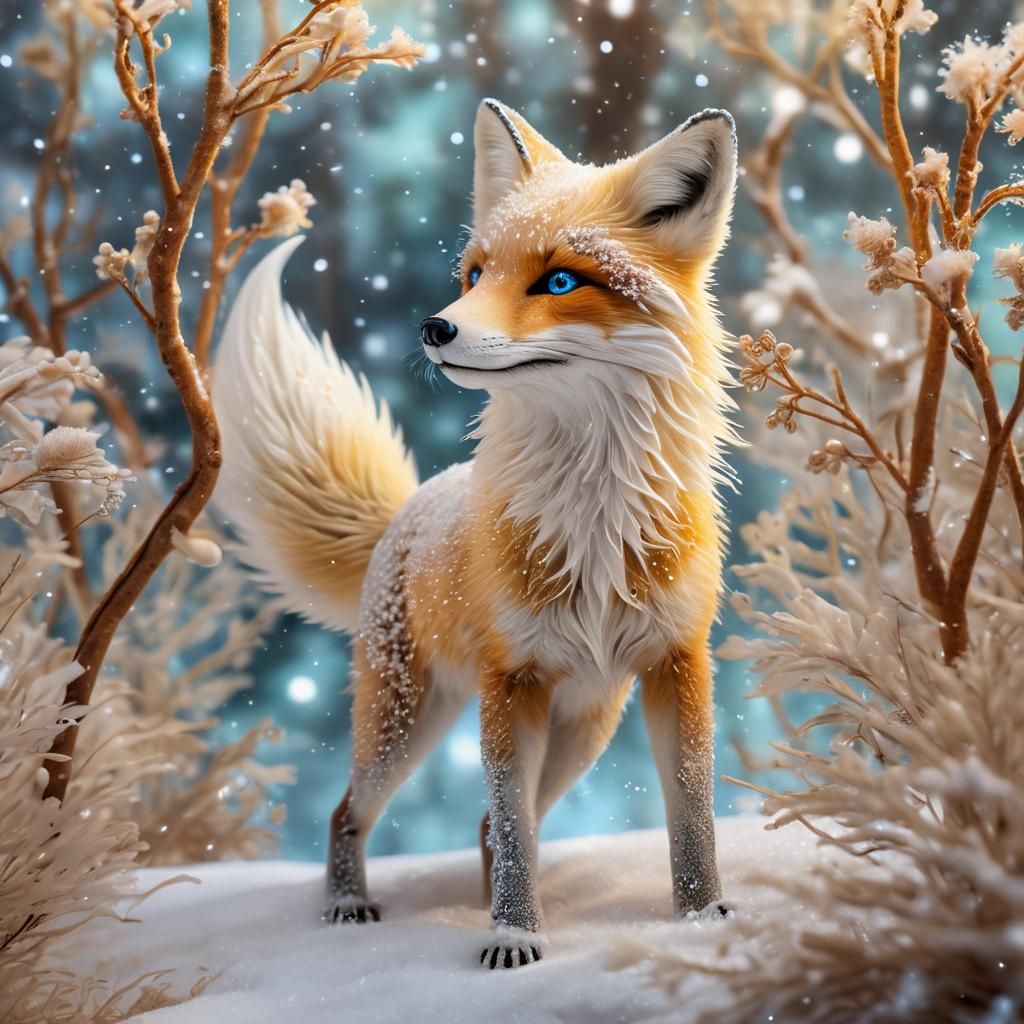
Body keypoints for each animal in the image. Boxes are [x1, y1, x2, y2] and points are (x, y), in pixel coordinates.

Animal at [213, 98, 738, 969]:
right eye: (474, 275)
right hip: (408, 722)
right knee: (355, 812)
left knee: (489, 824)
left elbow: (691, 815)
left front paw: (701, 920)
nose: (434, 328)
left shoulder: (678, 660)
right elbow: (519, 834)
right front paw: (513, 938)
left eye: (559, 281)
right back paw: (349, 905)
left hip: (583, 729)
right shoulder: (509, 678)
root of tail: (408, 510)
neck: (591, 523)